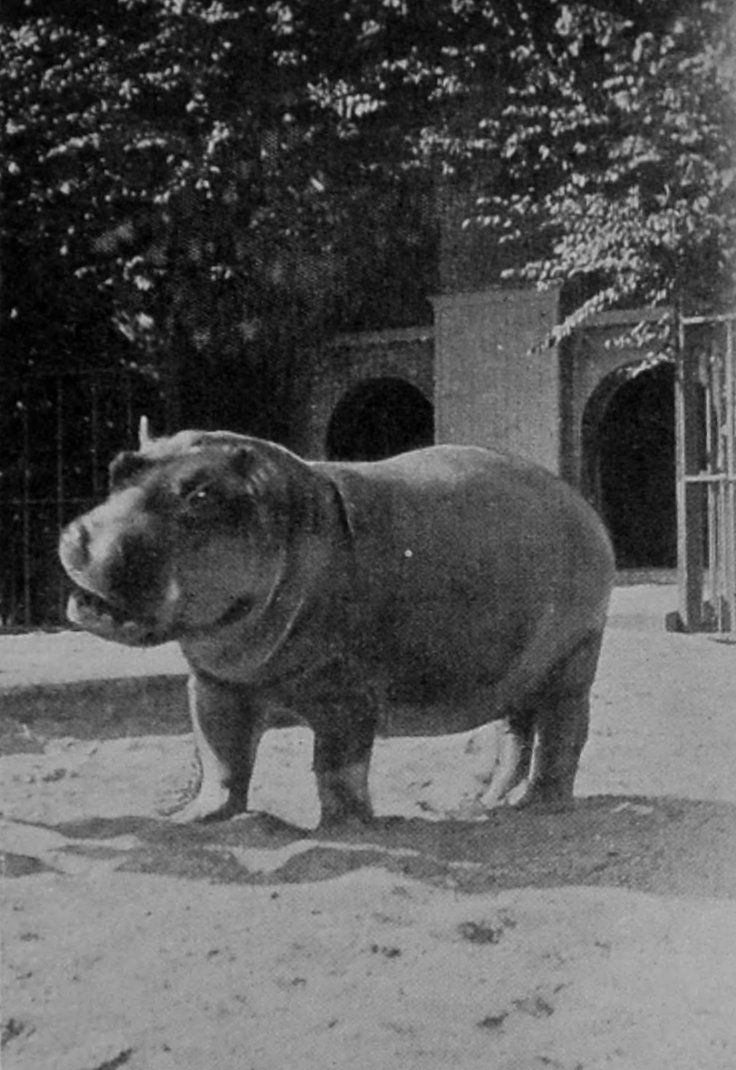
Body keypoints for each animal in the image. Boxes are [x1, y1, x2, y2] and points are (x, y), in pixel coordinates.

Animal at [59, 429, 614, 826]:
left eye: (200, 495)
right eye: (118, 467)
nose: (84, 538)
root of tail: (580, 503)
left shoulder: (347, 694)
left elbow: (338, 766)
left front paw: (346, 827)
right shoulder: (216, 686)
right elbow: (220, 757)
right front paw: (191, 819)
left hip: (574, 659)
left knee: (563, 733)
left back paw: (538, 806)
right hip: (516, 672)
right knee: (515, 735)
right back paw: (486, 805)